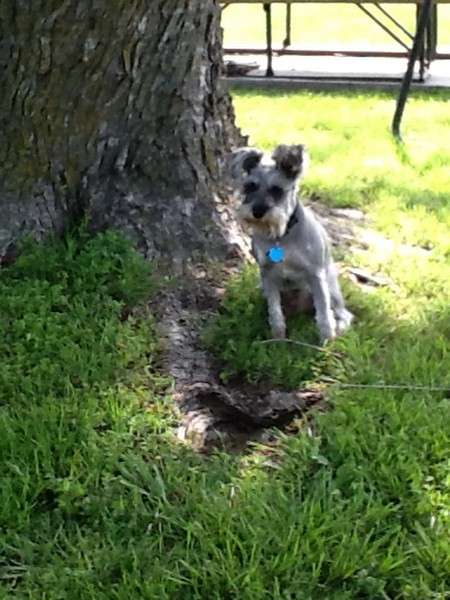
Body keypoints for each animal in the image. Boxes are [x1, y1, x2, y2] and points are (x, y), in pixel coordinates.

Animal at [231, 144, 353, 343]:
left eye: (277, 189)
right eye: (249, 186)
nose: (257, 211)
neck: (281, 237)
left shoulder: (315, 275)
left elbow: (324, 314)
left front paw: (326, 341)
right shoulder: (268, 275)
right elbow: (275, 311)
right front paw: (278, 337)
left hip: (331, 289)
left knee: (343, 313)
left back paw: (340, 327)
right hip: (264, 289)